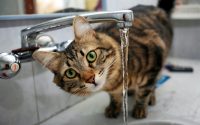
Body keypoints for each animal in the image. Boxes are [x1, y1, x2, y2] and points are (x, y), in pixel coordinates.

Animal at [32, 0, 174, 118]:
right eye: (70, 73)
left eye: (91, 56)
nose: (90, 78)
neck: (115, 81)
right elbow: (114, 96)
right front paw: (114, 107)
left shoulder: (156, 56)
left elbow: (144, 91)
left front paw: (139, 108)